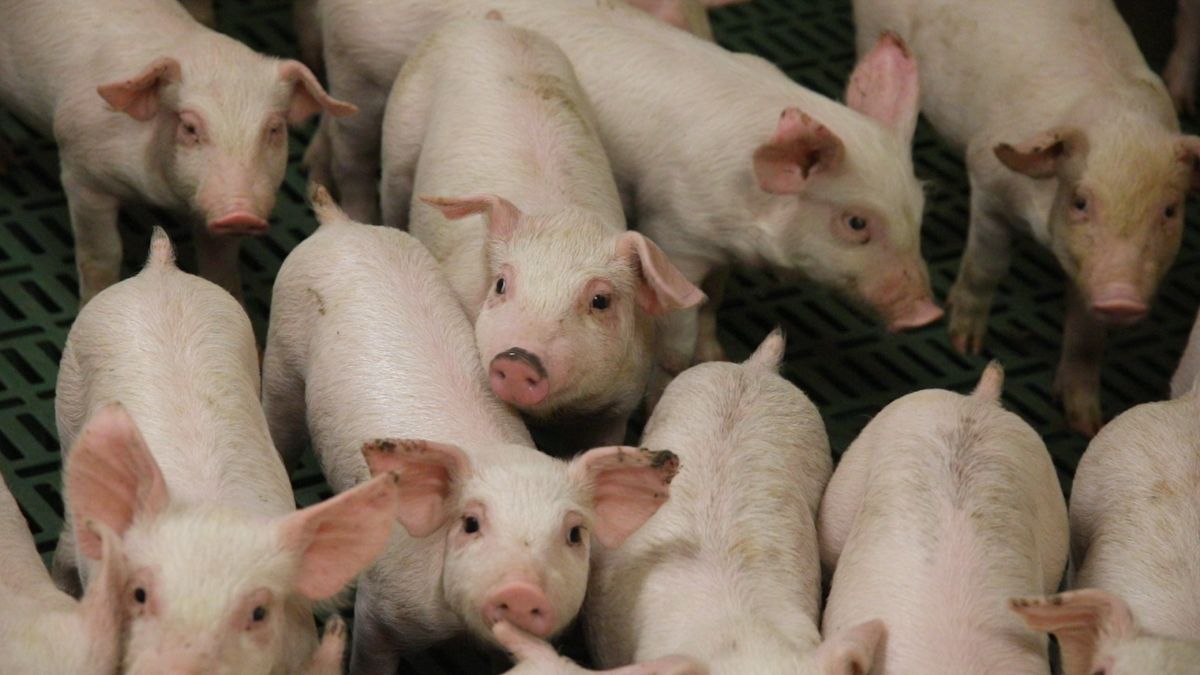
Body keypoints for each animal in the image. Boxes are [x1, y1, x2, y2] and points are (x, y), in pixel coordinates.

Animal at [0, 0, 354, 304]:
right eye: (190, 128)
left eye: (274, 129)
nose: (240, 213)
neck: (163, 196)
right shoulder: (81, 173)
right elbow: (100, 255)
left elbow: (220, 266)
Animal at [261, 187, 680, 674]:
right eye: (471, 523)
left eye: (575, 534)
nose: (520, 590)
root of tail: (340, 226)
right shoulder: (379, 607)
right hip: (282, 354)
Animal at [310, 0, 940, 384]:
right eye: (856, 223)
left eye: (920, 209)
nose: (925, 314)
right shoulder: (674, 225)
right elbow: (681, 323)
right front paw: (686, 366)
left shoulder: (715, 248)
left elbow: (715, 298)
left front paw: (716, 353)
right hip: (358, 78)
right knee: (351, 155)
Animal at [381, 18, 704, 453]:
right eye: (501, 284)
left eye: (600, 301)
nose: (518, 359)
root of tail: (496, 24)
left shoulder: (619, 402)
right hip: (400, 126)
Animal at [854, 0, 1200, 435]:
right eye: (1080, 201)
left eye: (1169, 210)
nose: (1122, 298)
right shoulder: (987, 183)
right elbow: (986, 266)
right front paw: (965, 345)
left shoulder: (1088, 271)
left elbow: (1088, 337)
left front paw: (1086, 423)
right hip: (874, 35)